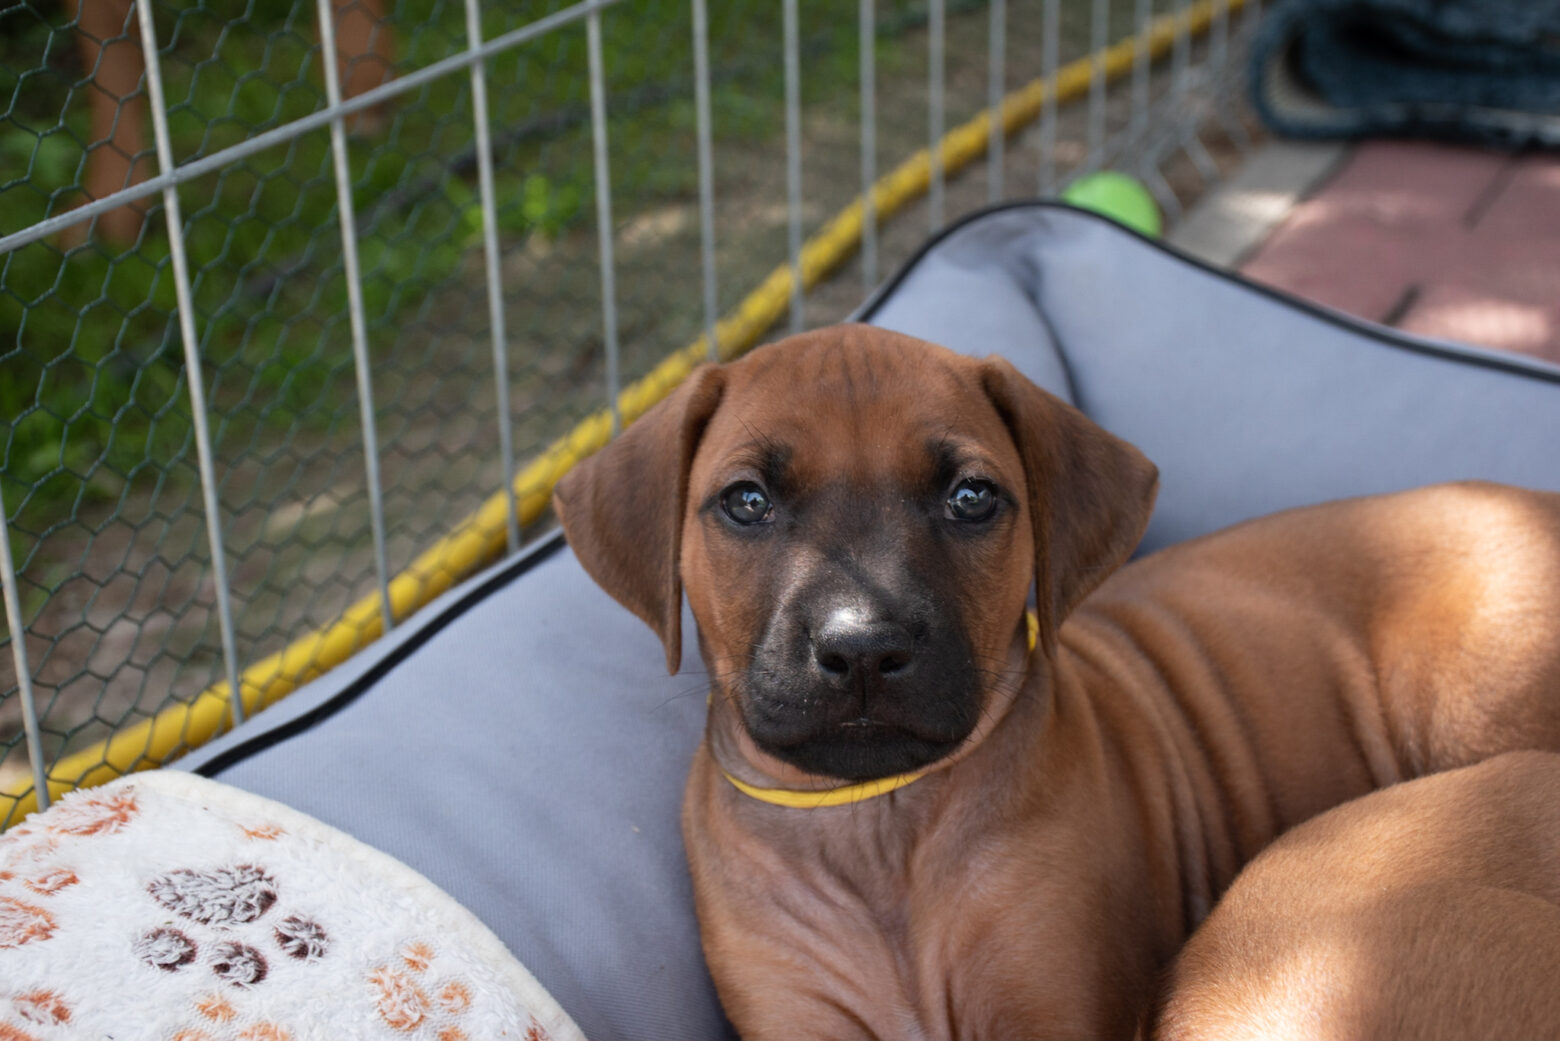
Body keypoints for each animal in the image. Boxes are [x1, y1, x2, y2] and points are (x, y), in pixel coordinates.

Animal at [554, 326, 1560, 1039]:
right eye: (746, 502)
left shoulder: (1058, 998)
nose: (863, 645)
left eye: (971, 497)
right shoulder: (797, 1016)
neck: (880, 829)